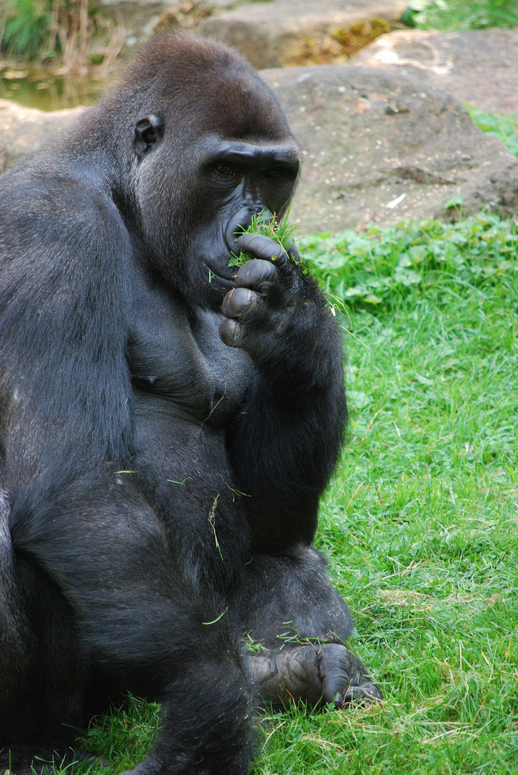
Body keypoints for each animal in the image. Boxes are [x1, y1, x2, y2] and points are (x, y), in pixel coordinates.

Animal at [0, 31, 382, 775]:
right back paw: (34, 741)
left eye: (273, 175)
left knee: (287, 554)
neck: (121, 193)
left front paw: (296, 326)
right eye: (226, 168)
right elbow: (72, 486)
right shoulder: (51, 229)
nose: (247, 219)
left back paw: (285, 672)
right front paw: (211, 714)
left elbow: (271, 514)